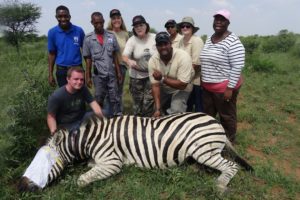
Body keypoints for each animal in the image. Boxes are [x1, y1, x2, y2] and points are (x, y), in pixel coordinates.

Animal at [18, 111, 253, 193]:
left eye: (44, 162)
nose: (21, 186)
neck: (92, 140)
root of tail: (214, 120)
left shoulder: (112, 162)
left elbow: (82, 179)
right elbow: (90, 166)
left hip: (205, 151)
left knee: (231, 166)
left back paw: (220, 186)